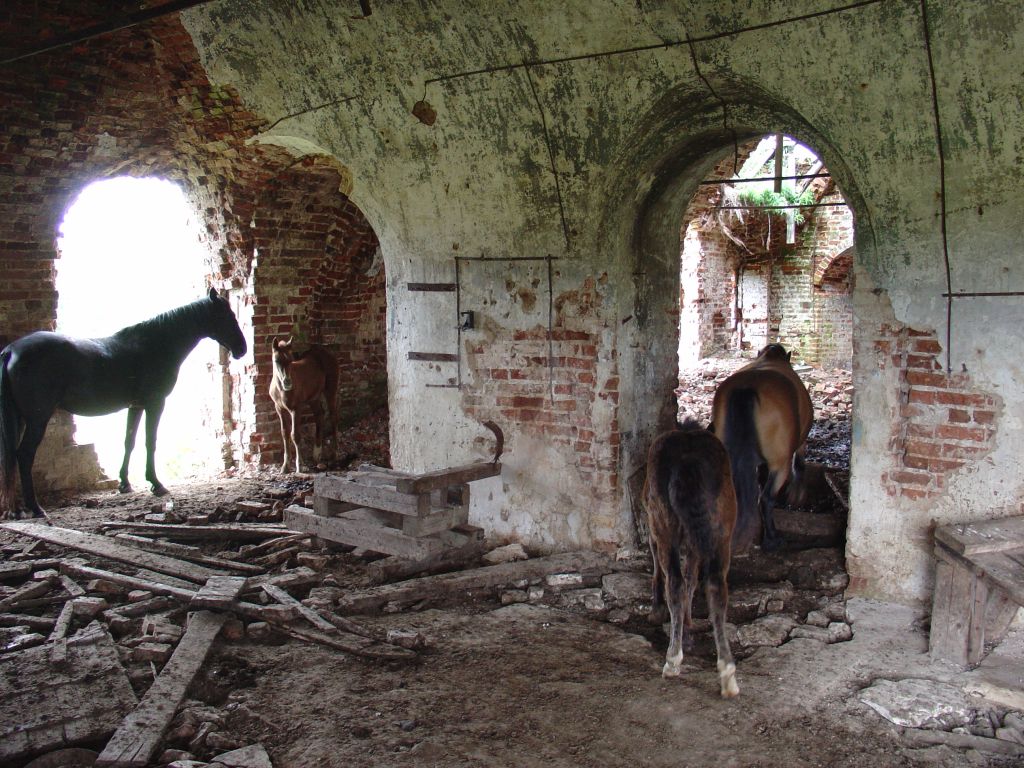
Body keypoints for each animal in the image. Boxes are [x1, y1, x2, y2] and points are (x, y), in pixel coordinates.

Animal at [0, 290, 245, 520]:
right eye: (226, 316)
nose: (242, 349)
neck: (157, 345)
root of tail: (11, 350)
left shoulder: (135, 406)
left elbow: (129, 441)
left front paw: (125, 484)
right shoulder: (155, 403)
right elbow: (150, 442)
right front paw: (156, 484)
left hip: (20, 419)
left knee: (11, 456)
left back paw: (16, 509)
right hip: (37, 419)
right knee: (24, 455)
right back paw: (35, 508)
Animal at [268, 337, 339, 475]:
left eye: (290, 360)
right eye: (277, 360)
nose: (287, 383)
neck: (281, 390)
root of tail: (326, 352)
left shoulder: (296, 409)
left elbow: (295, 435)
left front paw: (300, 466)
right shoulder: (279, 409)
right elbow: (285, 433)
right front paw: (285, 466)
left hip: (330, 390)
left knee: (333, 416)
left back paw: (335, 453)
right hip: (314, 398)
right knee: (319, 415)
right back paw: (317, 453)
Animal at [643, 417, 741, 700]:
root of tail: (688, 461)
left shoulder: (654, 530)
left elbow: (667, 574)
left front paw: (657, 611)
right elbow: (691, 581)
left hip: (665, 527)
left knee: (675, 583)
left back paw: (673, 660)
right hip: (721, 533)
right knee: (716, 587)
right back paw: (727, 674)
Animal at [716, 344, 811, 552]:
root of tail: (746, 389)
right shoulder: (799, 446)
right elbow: (799, 465)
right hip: (780, 465)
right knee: (766, 499)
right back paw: (772, 539)